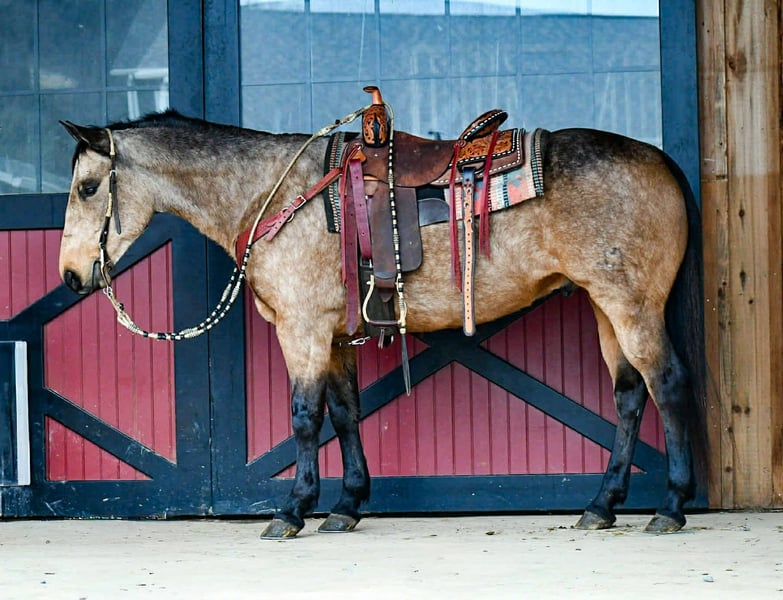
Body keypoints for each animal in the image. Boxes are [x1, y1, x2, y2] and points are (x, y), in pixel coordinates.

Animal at [57, 107, 706, 539]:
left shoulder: (301, 329)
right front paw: (346, 506)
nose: (69, 275)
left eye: (88, 187)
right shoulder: (334, 334)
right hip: (604, 305)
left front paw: (292, 510)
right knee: (629, 396)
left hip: (632, 304)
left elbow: (303, 417)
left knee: (667, 385)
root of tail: (661, 161)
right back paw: (602, 504)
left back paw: (671, 506)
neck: (273, 193)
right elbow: (344, 413)